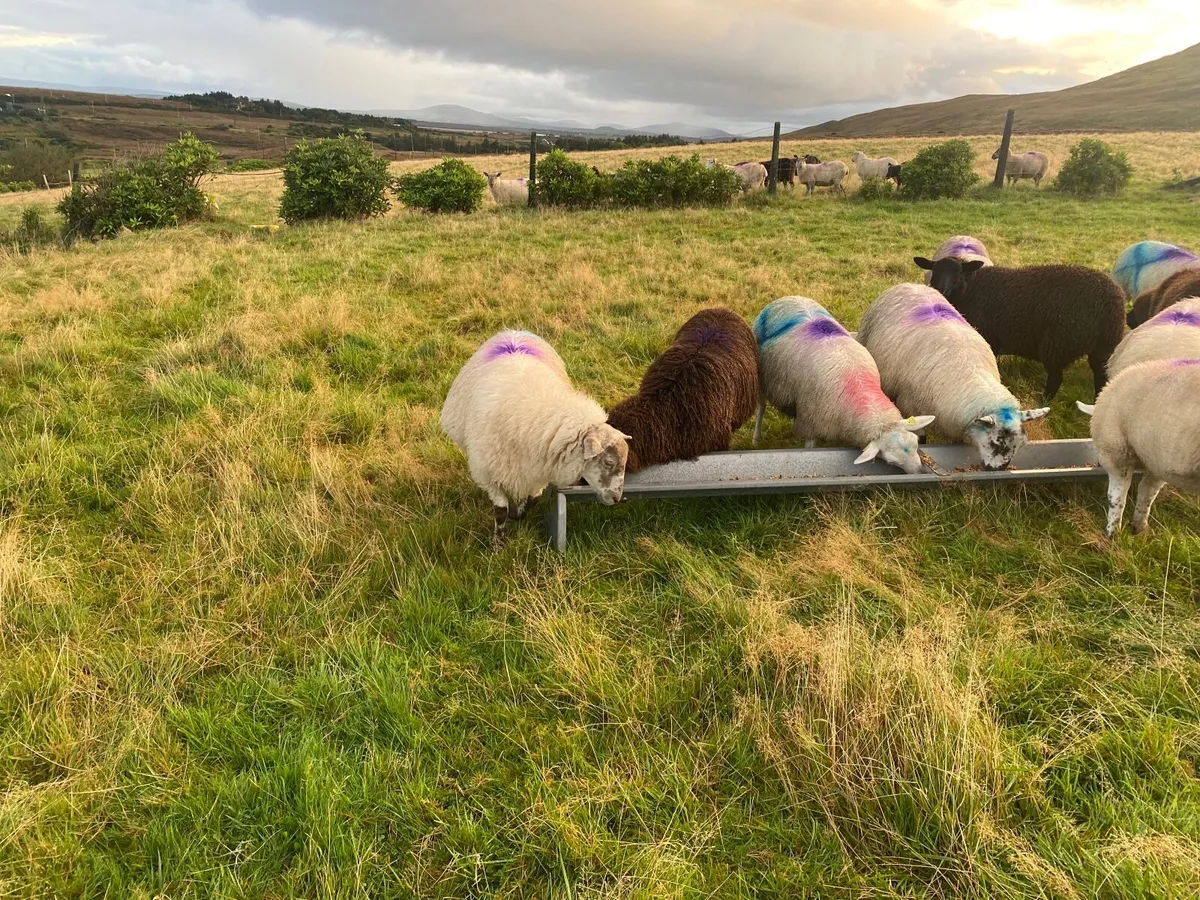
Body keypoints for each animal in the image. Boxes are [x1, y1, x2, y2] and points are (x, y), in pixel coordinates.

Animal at [441, 330, 630, 541]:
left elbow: (534, 499)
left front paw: (518, 513)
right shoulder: (487, 474)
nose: (617, 499)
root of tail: (514, 332)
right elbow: (501, 510)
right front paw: (499, 541)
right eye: (609, 462)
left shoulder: (538, 470)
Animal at [752, 296, 935, 473]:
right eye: (891, 461)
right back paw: (756, 438)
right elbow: (810, 445)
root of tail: (787, 298)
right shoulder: (810, 423)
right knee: (761, 407)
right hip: (761, 380)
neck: (859, 388)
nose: (919, 470)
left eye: (916, 442)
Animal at [857, 283, 1050, 470]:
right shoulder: (910, 404)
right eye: (995, 443)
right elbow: (921, 437)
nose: (997, 470)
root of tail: (909, 284)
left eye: (1020, 445)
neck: (972, 374)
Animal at [913, 257, 1125, 400]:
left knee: (1055, 379)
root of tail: (1110, 298)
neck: (971, 289)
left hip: (1059, 342)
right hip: (1103, 346)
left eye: (958, 273)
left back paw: (1043, 402)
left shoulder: (989, 337)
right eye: (934, 270)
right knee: (1100, 376)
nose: (940, 290)